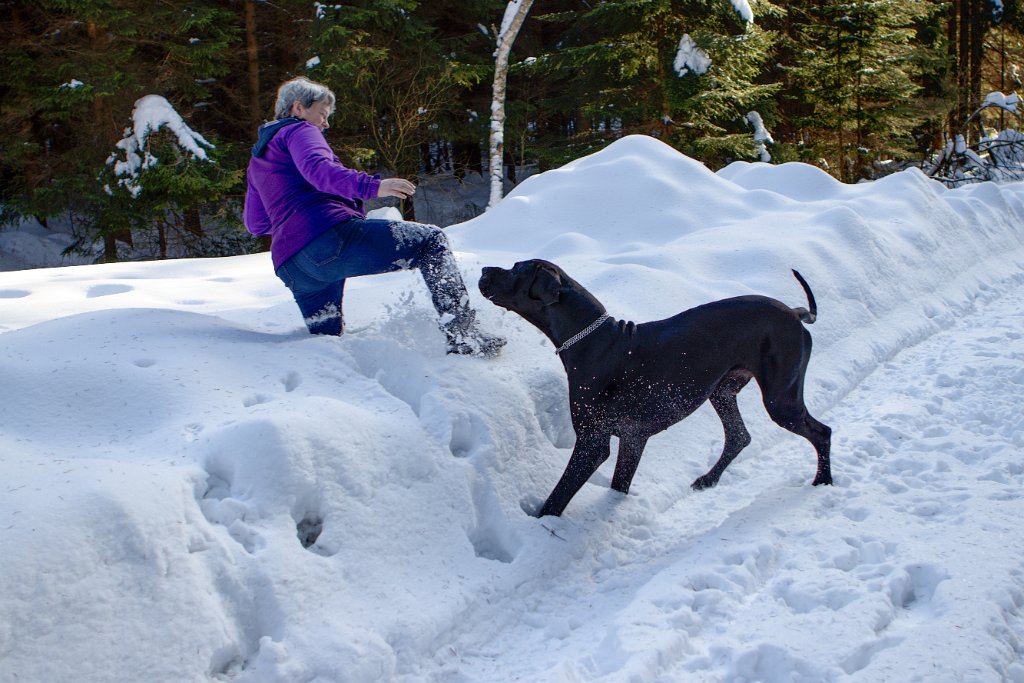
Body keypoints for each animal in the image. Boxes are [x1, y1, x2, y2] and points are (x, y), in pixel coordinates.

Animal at [479, 262, 831, 518]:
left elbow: (557, 499)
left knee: (822, 432)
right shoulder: (633, 439)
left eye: (515, 269)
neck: (590, 340)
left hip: (780, 398)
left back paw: (824, 482)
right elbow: (619, 483)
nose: (484, 270)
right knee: (739, 436)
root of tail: (795, 313)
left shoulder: (592, 442)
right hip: (722, 391)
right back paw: (708, 479)